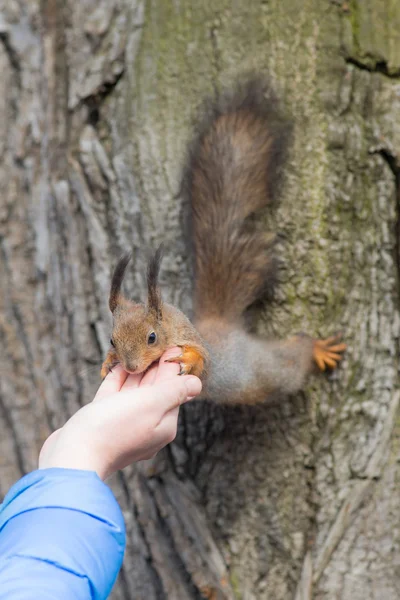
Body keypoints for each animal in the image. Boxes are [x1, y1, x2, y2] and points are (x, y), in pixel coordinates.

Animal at [101, 76, 346, 404]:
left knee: (294, 358)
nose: (130, 366)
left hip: (271, 370)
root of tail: (222, 326)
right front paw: (107, 363)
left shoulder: (199, 349)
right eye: (112, 340)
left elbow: (203, 360)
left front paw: (190, 358)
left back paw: (316, 348)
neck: (176, 326)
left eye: (152, 337)